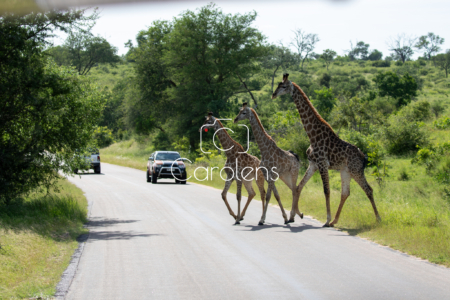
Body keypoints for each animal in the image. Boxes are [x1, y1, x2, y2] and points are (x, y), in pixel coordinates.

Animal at [270, 73, 380, 227]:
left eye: (284, 86)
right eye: (278, 85)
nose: (273, 94)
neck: (312, 135)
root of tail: (363, 156)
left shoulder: (322, 164)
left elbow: (326, 190)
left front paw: (326, 219)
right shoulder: (313, 164)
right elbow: (298, 187)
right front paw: (293, 215)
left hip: (356, 170)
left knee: (368, 189)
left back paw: (377, 219)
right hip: (345, 171)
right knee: (345, 193)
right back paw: (335, 221)